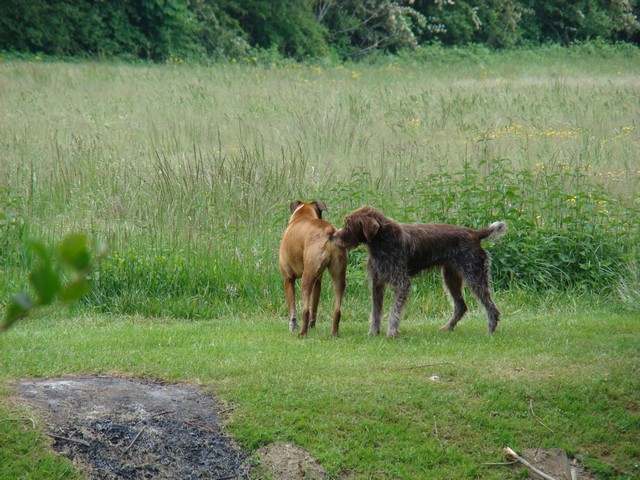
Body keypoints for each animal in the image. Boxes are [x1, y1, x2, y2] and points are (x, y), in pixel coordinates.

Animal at [278, 202, 348, 338]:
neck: (302, 215)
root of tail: (329, 231)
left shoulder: (288, 279)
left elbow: (292, 309)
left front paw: (292, 327)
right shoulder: (318, 282)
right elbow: (314, 305)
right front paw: (312, 326)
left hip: (306, 278)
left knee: (305, 310)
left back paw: (302, 334)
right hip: (338, 276)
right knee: (337, 310)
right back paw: (334, 333)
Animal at [332, 207, 508, 338]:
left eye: (348, 225)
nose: (333, 236)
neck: (381, 240)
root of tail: (475, 233)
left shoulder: (402, 283)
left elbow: (395, 310)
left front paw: (391, 332)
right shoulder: (377, 283)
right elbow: (376, 311)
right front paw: (374, 332)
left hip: (475, 277)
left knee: (491, 307)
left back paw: (490, 330)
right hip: (451, 278)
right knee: (461, 306)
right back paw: (448, 327)